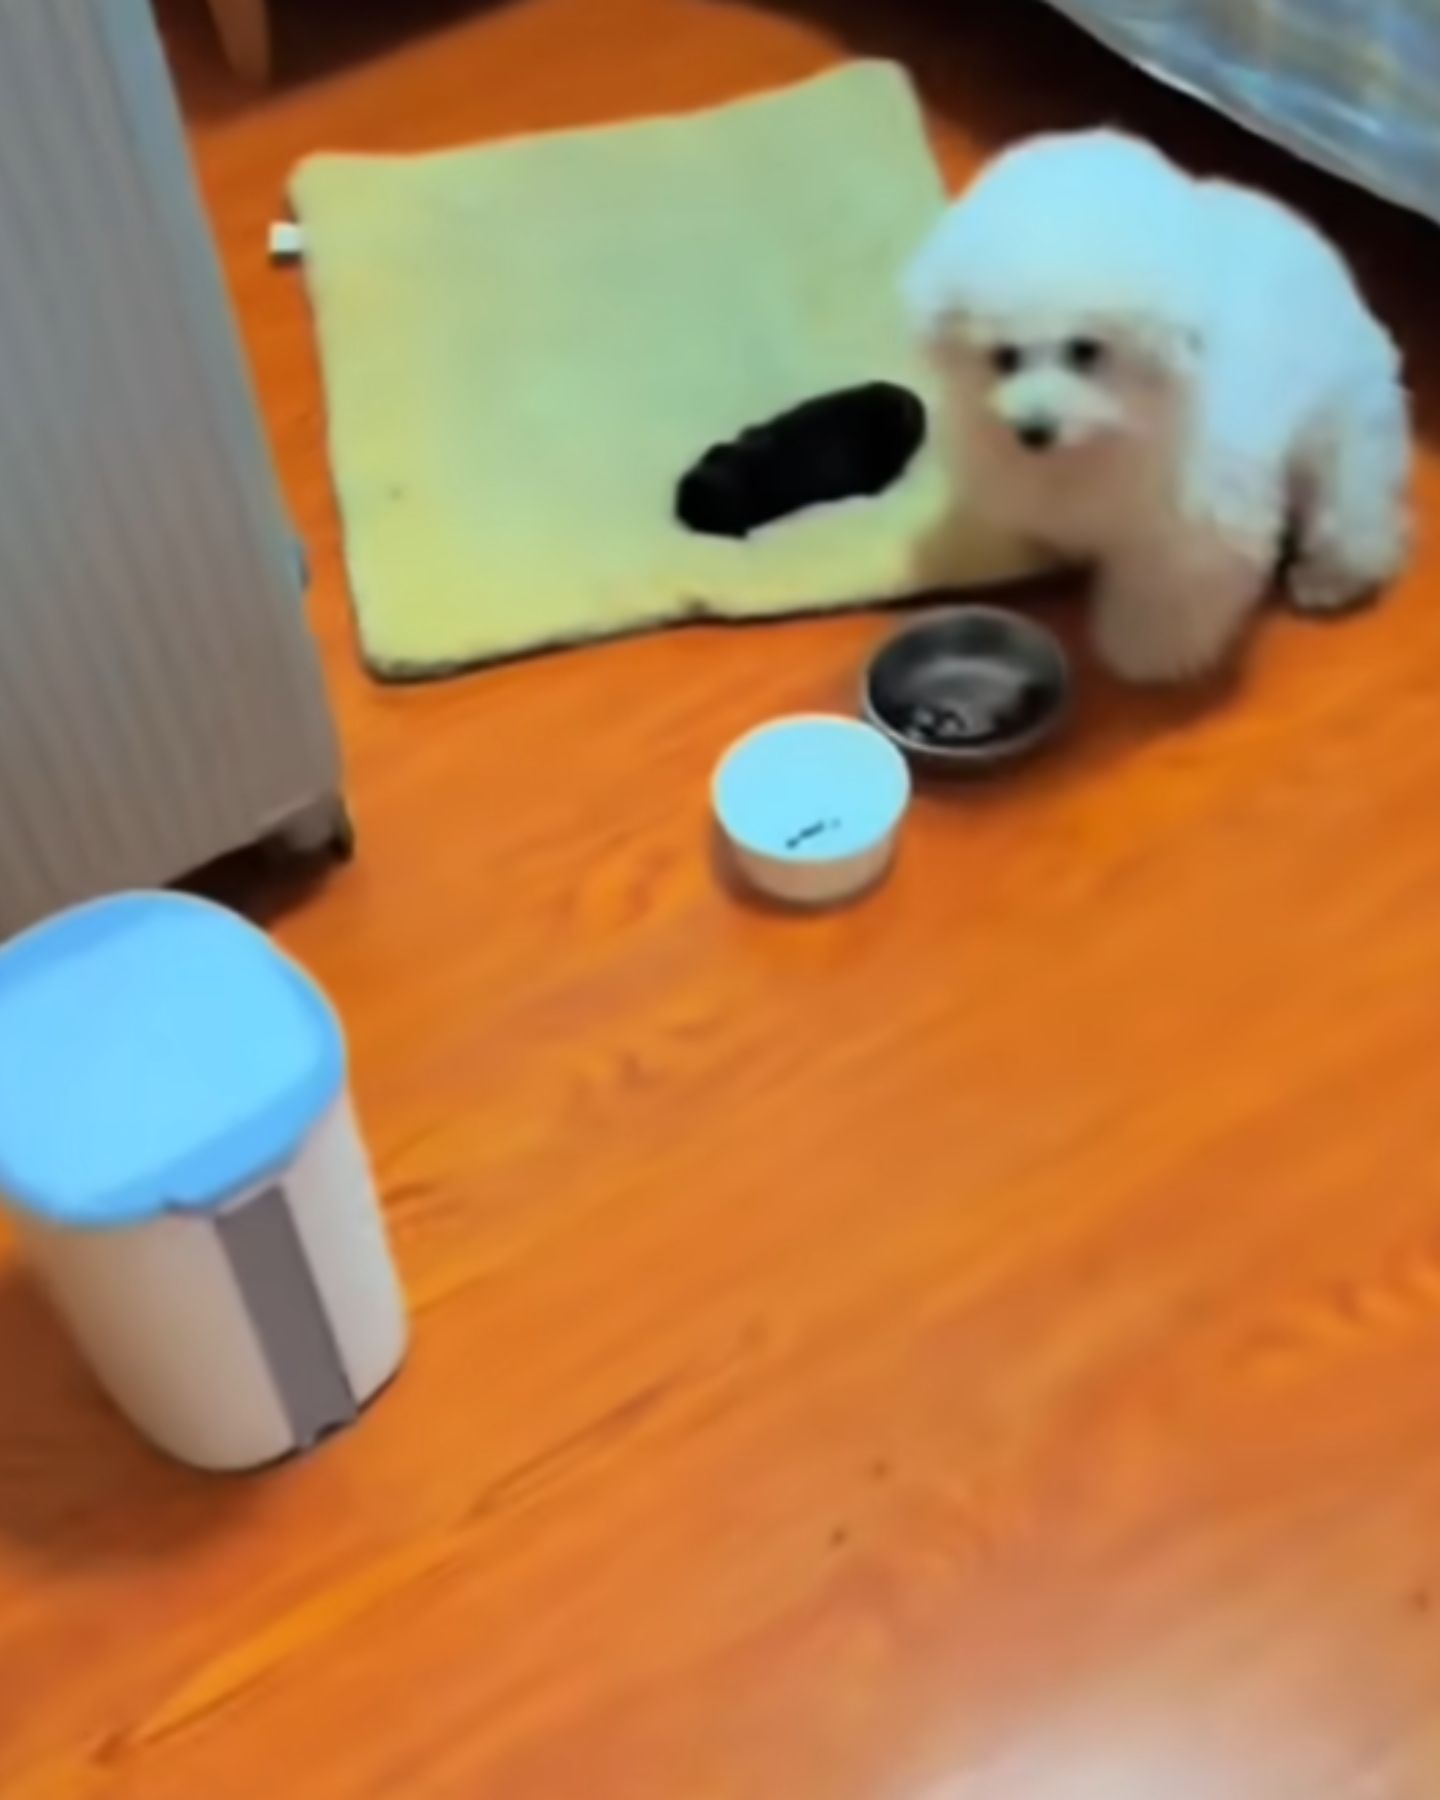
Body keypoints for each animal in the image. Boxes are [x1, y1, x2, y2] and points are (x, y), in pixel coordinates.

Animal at [907, 130, 1411, 680]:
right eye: (1004, 357)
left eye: (1084, 350)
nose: (1033, 430)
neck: (1111, 433)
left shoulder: (1193, 534)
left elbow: (1170, 592)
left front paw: (1144, 654)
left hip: (1346, 433)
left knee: (1353, 513)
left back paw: (1330, 577)